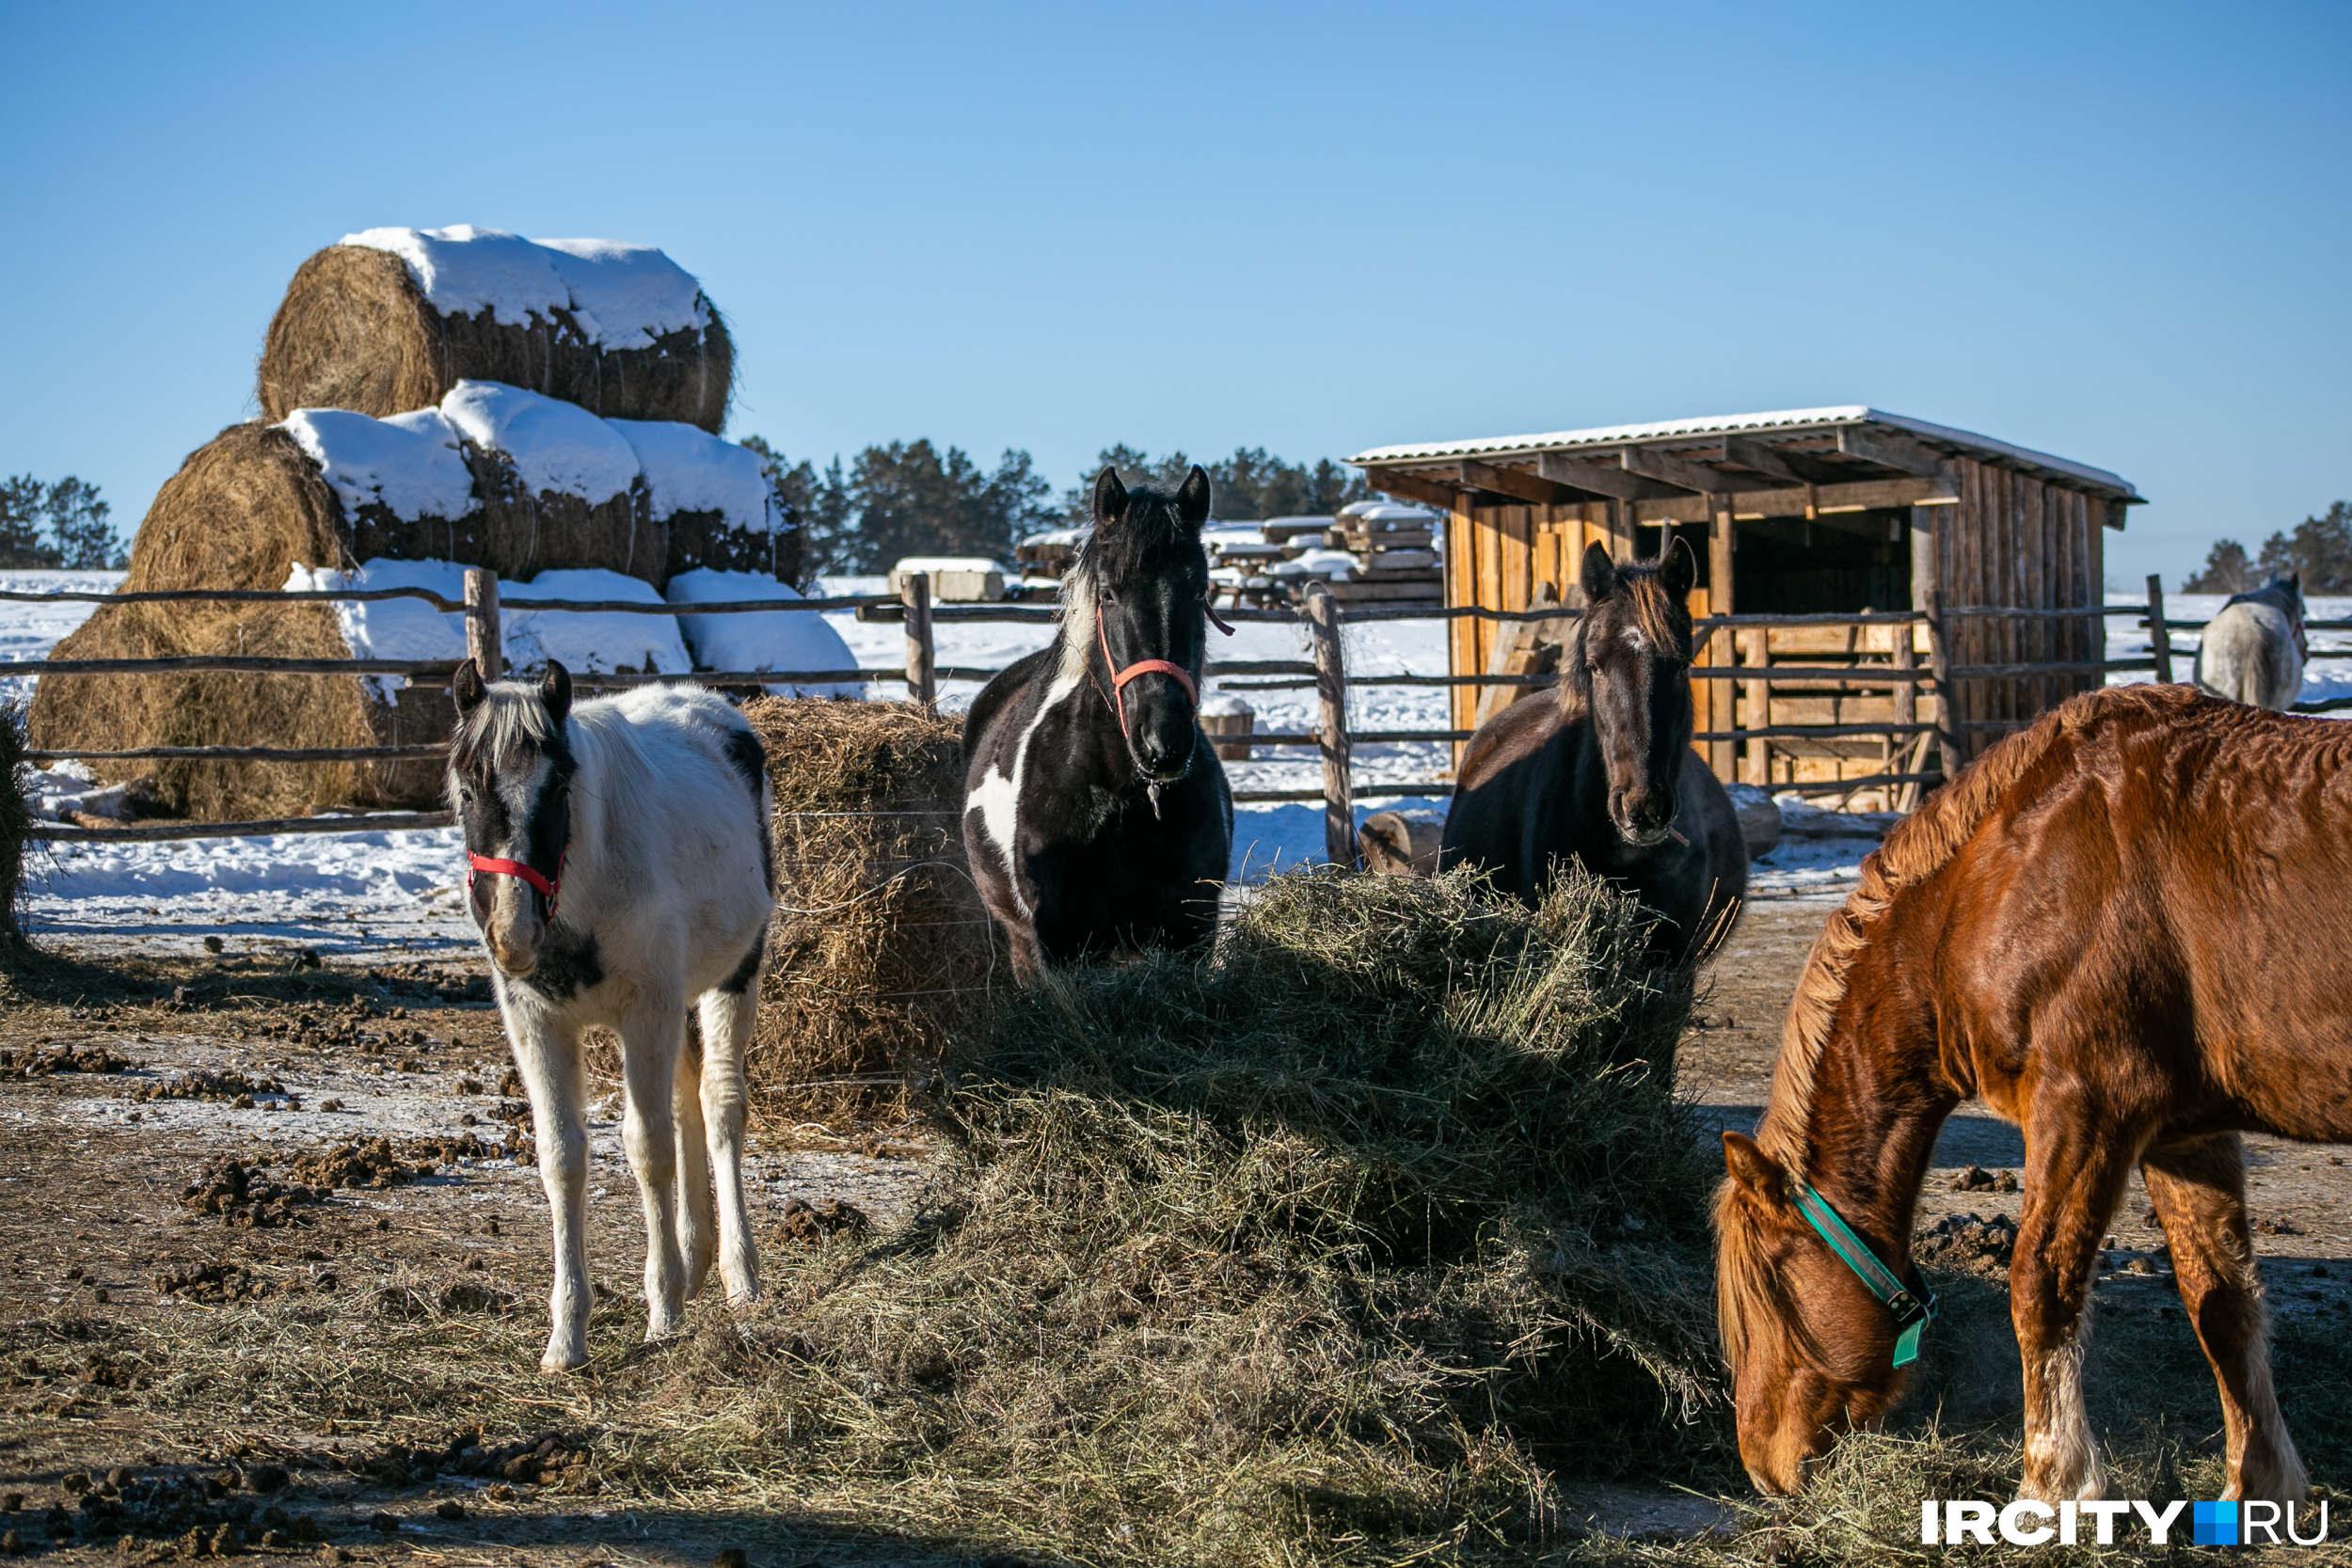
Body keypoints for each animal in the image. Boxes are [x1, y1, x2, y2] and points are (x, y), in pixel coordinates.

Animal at [442, 662, 771, 1372]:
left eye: (559, 787)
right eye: (468, 787)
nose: (512, 934)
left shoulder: (644, 1010)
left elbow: (648, 1149)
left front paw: (664, 1313)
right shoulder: (538, 1025)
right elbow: (563, 1157)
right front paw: (567, 1335)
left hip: (732, 978)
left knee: (720, 1106)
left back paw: (739, 1276)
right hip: (678, 1001)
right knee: (688, 1101)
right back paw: (697, 1260)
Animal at [964, 463, 1242, 982]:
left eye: (1199, 590)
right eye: (1109, 593)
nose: (1162, 742)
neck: (1119, 791)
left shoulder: (1188, 935)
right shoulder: (1060, 943)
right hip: (1019, 942)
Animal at [1712, 681, 2352, 1504]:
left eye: (1768, 1295)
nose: (1762, 1465)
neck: (2004, 878)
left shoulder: (2086, 1107)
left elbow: (2040, 1287)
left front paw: (2052, 1487)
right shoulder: (2186, 1134)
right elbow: (2222, 1300)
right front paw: (2258, 1489)